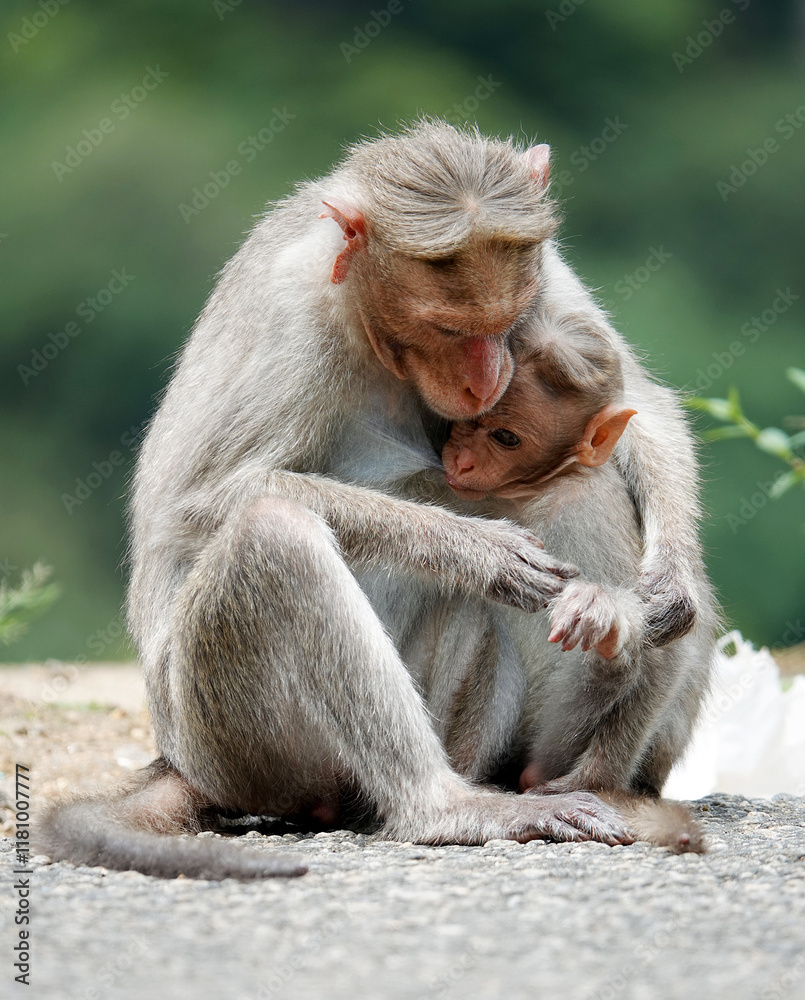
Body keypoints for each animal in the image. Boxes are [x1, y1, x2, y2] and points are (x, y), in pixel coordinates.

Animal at [37, 121, 713, 878]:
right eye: (447, 328)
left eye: (506, 319)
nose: (487, 379)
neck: (360, 314)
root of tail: (178, 760)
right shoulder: (296, 322)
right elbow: (198, 499)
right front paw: (473, 549)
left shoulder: (545, 273)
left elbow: (637, 405)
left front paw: (669, 582)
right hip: (234, 739)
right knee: (273, 537)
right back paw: (445, 808)